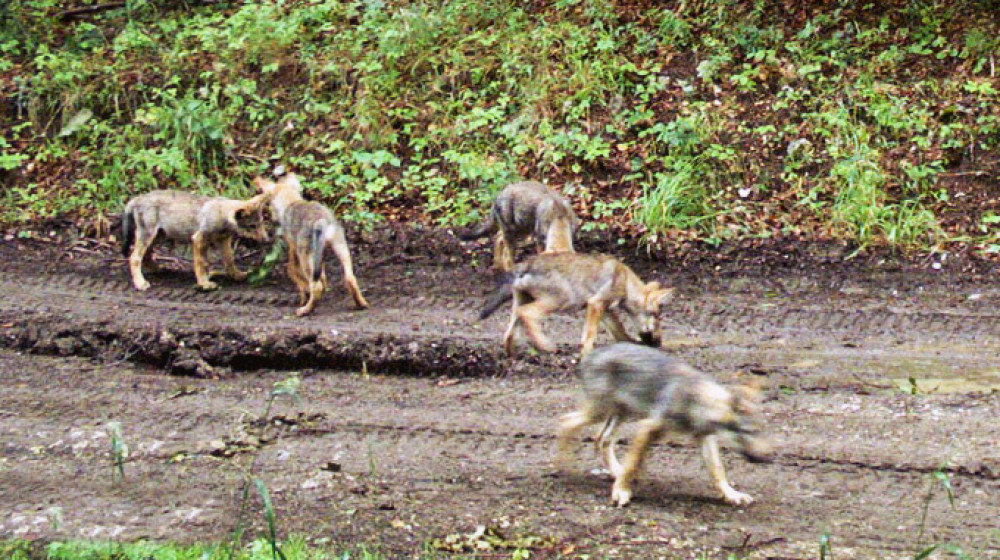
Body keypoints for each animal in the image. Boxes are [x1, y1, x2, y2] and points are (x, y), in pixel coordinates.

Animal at [120, 189, 270, 290]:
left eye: (261, 223)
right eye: (252, 226)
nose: (267, 240)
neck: (221, 214)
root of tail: (137, 198)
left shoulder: (223, 241)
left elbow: (229, 261)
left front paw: (237, 276)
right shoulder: (198, 239)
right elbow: (201, 264)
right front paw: (204, 283)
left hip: (158, 236)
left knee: (145, 255)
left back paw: (157, 269)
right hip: (149, 236)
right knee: (134, 257)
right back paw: (140, 283)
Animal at [256, 171, 370, 318]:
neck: (292, 201)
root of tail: (322, 221)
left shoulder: (294, 248)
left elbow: (293, 271)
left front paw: (303, 295)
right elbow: (322, 275)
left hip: (306, 256)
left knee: (316, 286)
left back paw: (305, 310)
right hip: (341, 248)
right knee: (350, 278)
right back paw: (361, 304)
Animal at [476, 252, 672, 356]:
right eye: (657, 317)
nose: (659, 343)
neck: (625, 281)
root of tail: (526, 264)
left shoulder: (605, 311)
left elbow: (620, 333)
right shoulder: (596, 304)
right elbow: (590, 335)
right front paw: (586, 354)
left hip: (520, 302)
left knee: (509, 332)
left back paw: (512, 356)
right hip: (559, 301)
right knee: (526, 314)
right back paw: (546, 346)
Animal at [556, 342, 772, 508]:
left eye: (764, 432)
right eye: (750, 432)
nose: (769, 457)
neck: (697, 400)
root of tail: (592, 354)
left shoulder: (706, 438)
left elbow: (718, 470)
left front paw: (732, 495)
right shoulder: (647, 427)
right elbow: (633, 463)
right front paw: (621, 492)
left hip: (621, 414)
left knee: (602, 439)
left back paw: (615, 471)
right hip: (600, 413)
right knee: (566, 422)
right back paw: (564, 464)